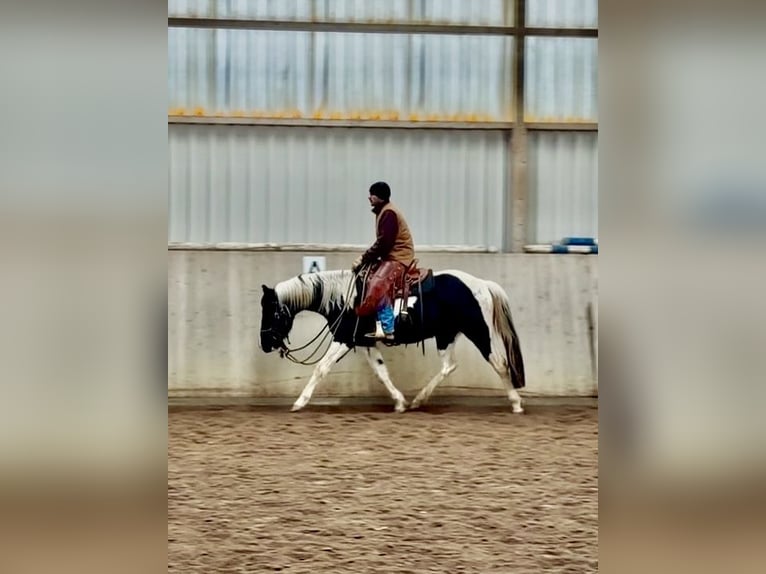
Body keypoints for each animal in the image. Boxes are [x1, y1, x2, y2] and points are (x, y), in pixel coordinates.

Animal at [259, 268, 525, 413]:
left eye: (272, 312)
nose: (264, 344)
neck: (345, 298)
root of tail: (481, 284)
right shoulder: (364, 343)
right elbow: (381, 372)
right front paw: (399, 402)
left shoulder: (343, 339)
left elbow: (321, 368)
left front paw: (299, 402)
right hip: (446, 335)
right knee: (449, 366)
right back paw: (418, 400)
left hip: (478, 331)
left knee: (499, 363)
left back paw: (516, 403)